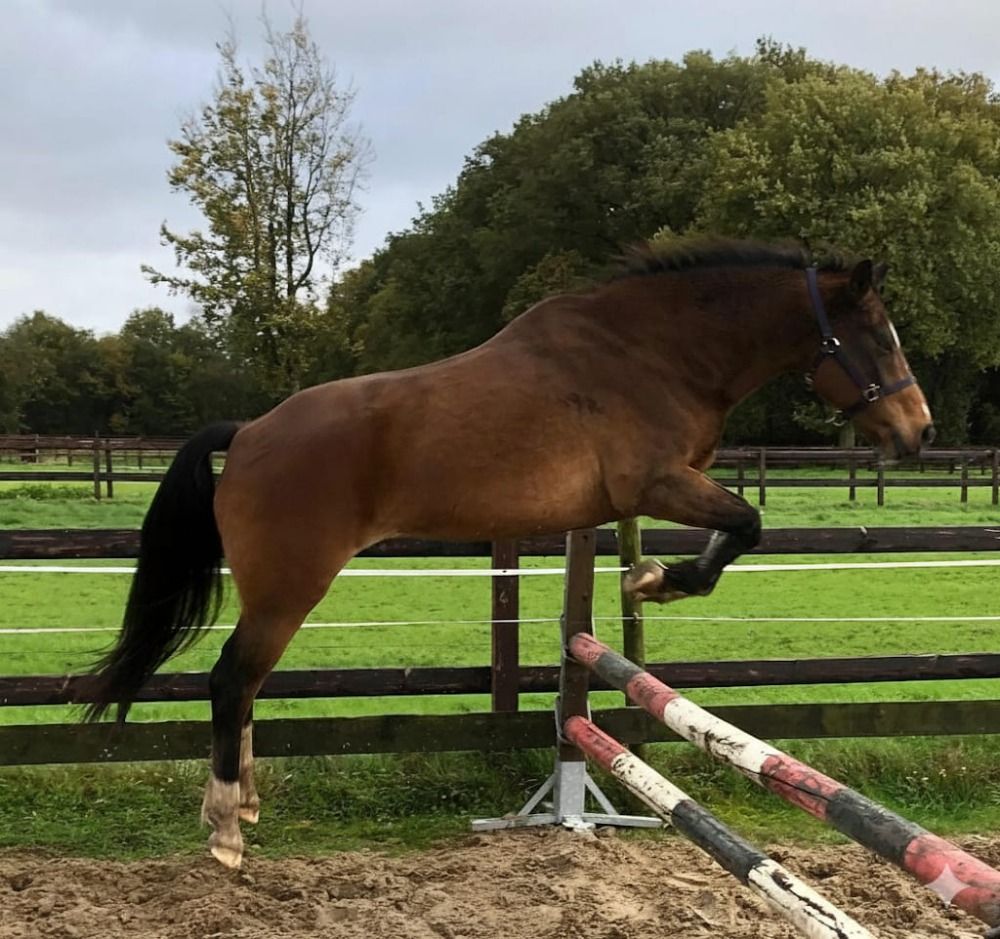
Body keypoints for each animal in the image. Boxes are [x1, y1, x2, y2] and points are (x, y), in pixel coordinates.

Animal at [83, 237, 934, 868]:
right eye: (878, 337)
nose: (918, 431)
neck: (655, 353)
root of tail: (251, 431)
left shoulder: (644, 495)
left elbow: (737, 526)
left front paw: (648, 578)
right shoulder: (657, 481)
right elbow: (747, 523)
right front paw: (659, 579)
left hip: (278, 592)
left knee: (250, 682)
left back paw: (247, 803)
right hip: (291, 586)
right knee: (233, 679)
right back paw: (227, 826)